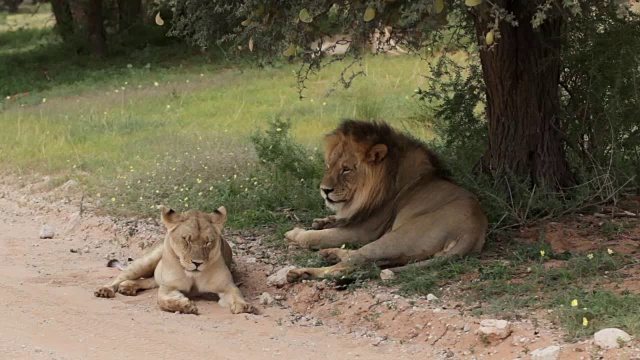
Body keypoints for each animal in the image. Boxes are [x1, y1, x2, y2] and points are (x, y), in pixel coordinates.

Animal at [95, 205, 255, 316]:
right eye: (186, 239)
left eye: (208, 242)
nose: (197, 263)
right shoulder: (169, 287)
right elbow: (163, 301)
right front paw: (186, 306)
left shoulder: (226, 286)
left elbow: (236, 293)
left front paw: (244, 306)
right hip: (147, 261)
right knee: (122, 277)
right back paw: (106, 289)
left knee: (149, 281)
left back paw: (128, 287)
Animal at [284, 119, 484, 282]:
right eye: (328, 165)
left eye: (346, 169)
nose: (324, 190)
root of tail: (472, 231)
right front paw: (322, 221)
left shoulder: (364, 230)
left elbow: (317, 237)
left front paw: (296, 233)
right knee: (361, 259)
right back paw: (330, 254)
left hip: (395, 239)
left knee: (348, 265)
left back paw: (302, 272)